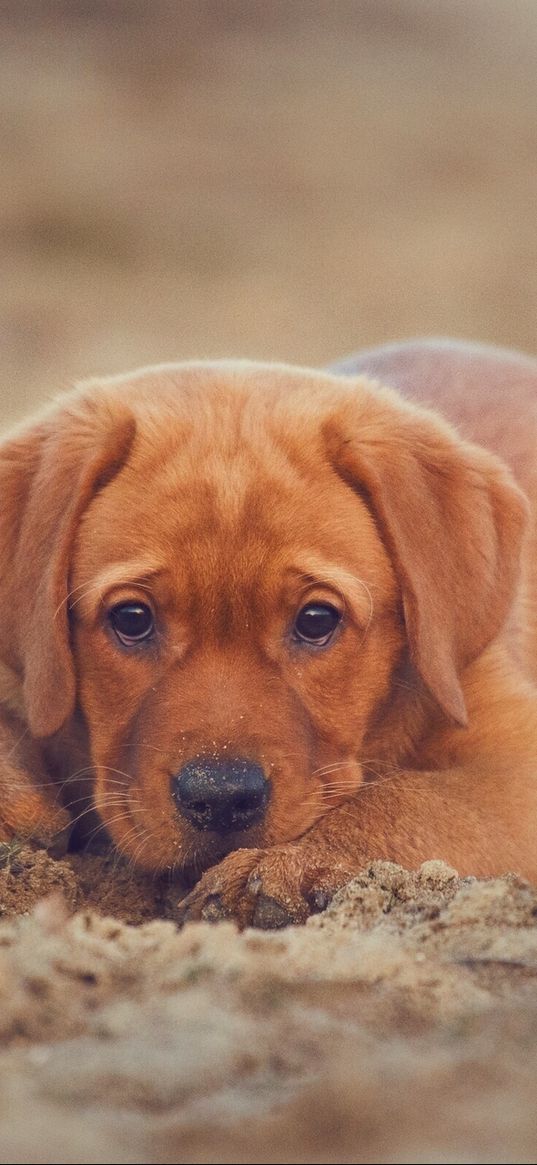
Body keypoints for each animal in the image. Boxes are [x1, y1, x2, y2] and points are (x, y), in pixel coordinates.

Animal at [1, 340, 535, 927]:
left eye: (316, 620)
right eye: (132, 619)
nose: (222, 798)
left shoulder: (513, 765)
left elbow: (414, 802)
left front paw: (288, 863)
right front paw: (20, 802)